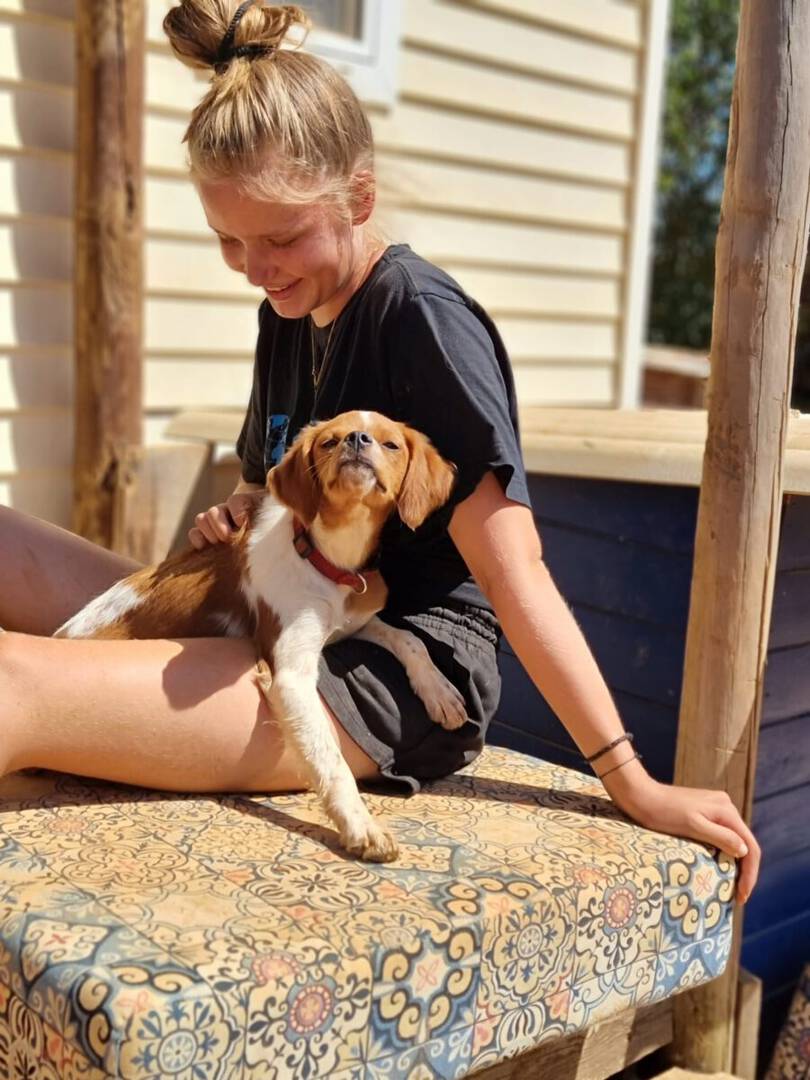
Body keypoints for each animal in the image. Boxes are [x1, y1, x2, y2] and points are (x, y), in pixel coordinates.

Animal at [55, 410, 468, 861]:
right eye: (329, 441)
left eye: (391, 444)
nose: (357, 440)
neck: (328, 559)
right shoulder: (291, 673)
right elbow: (329, 755)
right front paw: (361, 824)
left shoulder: (353, 624)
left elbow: (408, 639)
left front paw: (441, 693)